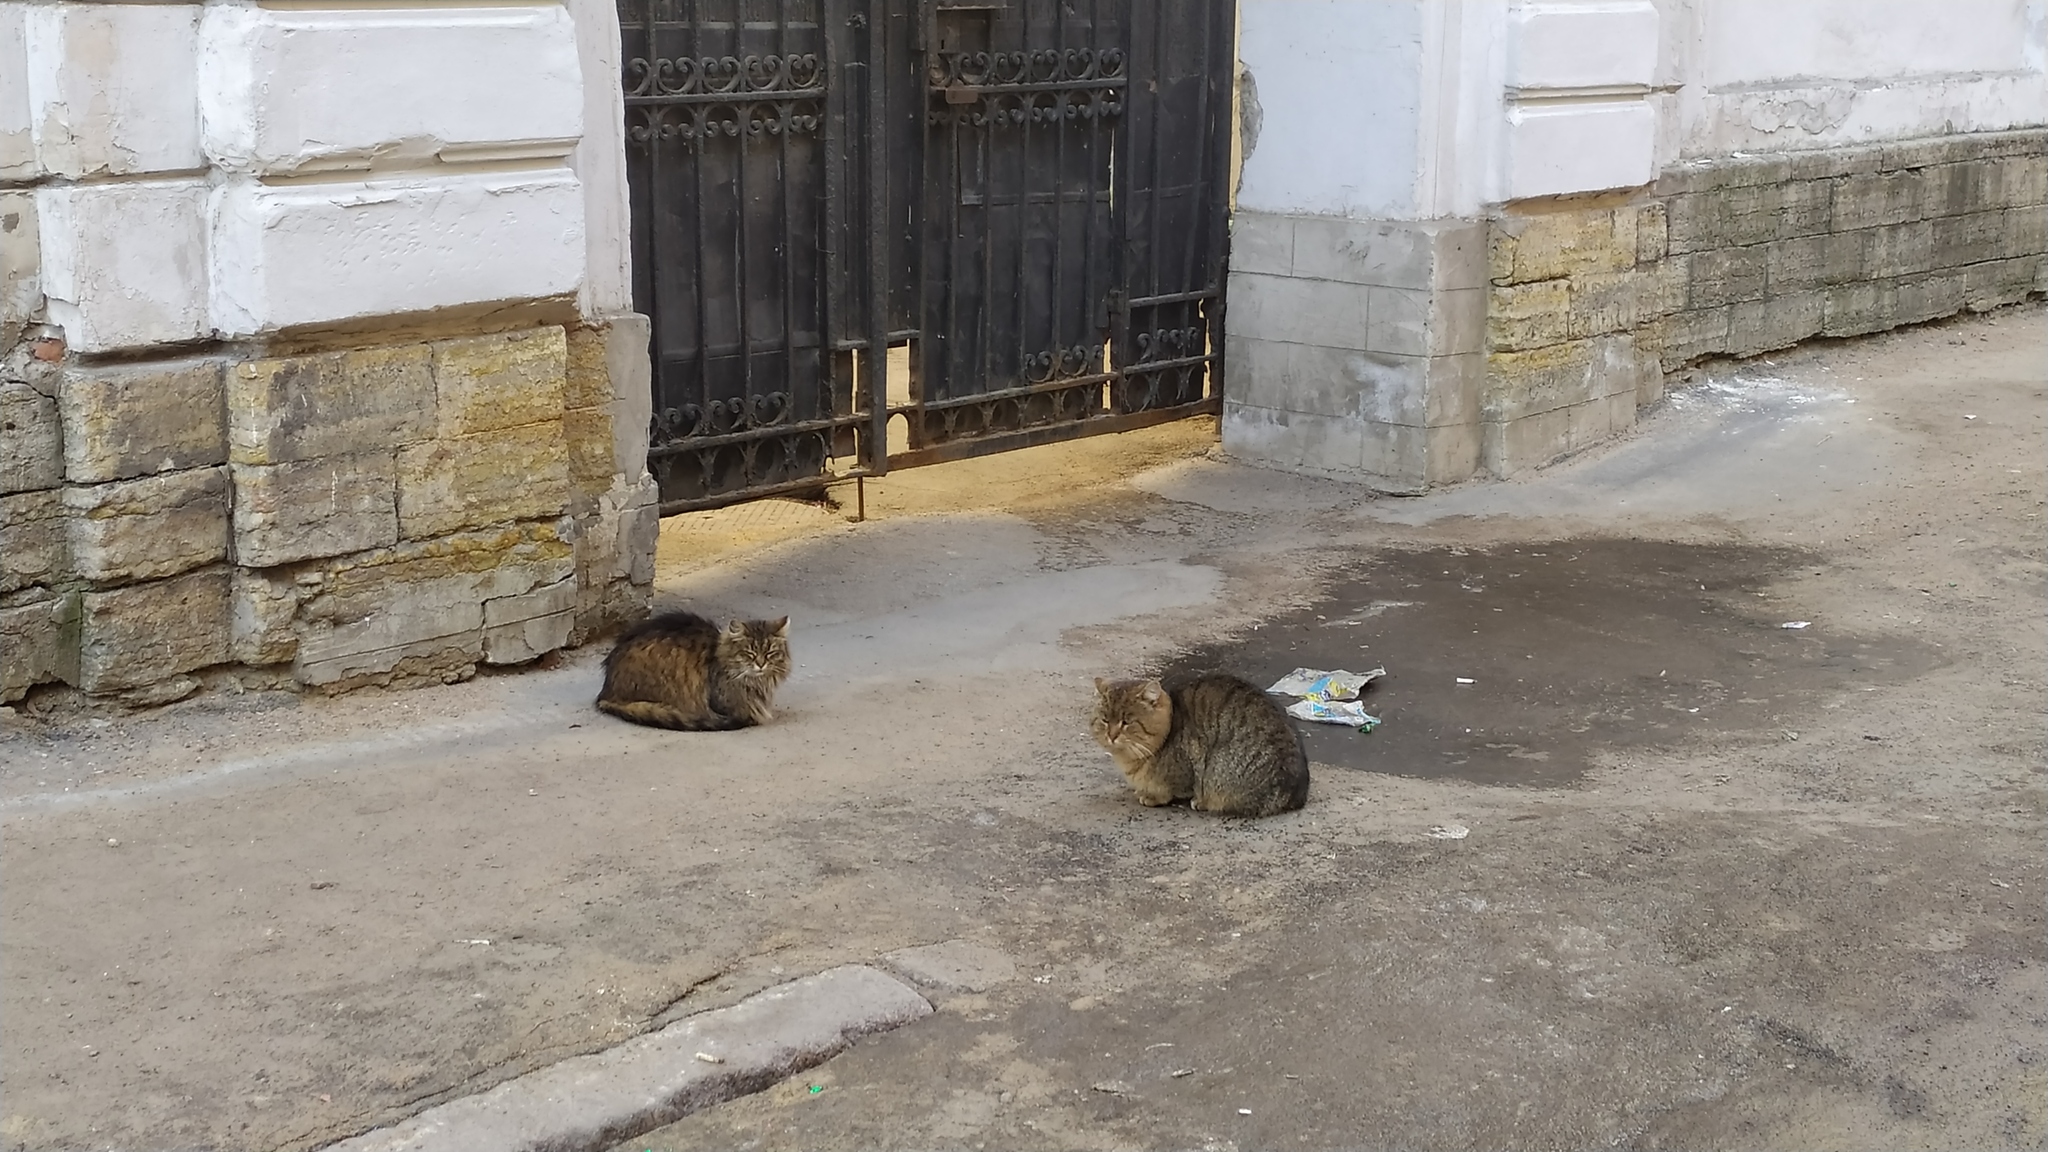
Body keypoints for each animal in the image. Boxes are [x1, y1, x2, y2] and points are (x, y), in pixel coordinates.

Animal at [1089, 672, 1310, 815]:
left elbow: (1170, 791)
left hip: (1220, 768)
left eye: (1127, 722)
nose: (1111, 735)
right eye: (1105, 720)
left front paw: (1151, 797)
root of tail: (1295, 793)